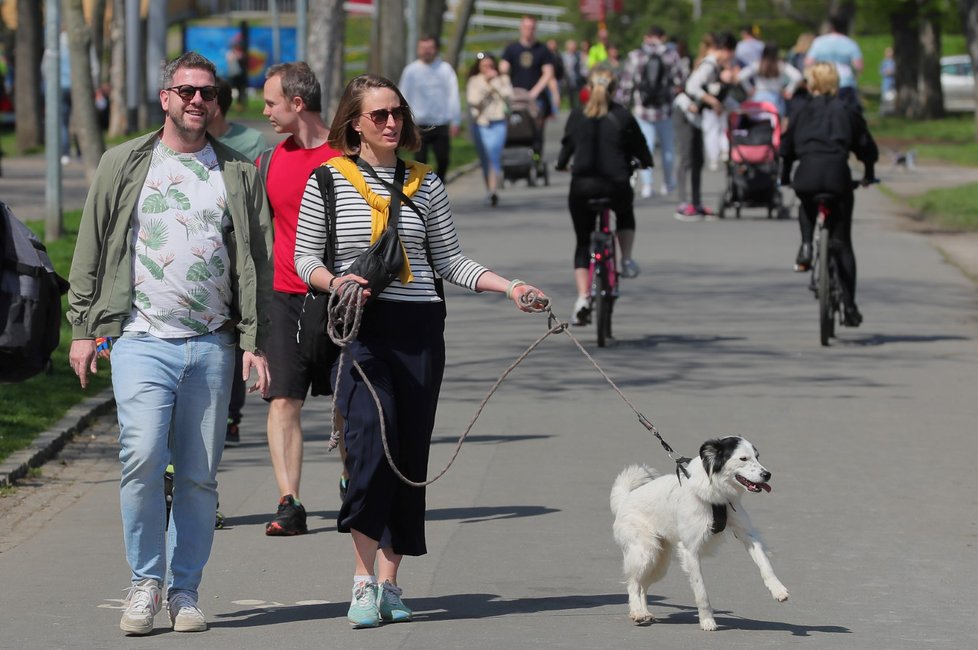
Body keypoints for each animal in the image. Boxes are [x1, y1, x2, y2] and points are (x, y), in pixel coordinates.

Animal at [608, 436, 784, 628]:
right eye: (743, 458)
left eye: (757, 457)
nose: (767, 475)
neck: (715, 494)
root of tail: (625, 498)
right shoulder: (690, 551)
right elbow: (701, 591)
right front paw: (707, 620)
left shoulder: (748, 535)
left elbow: (765, 564)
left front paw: (778, 590)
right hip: (645, 553)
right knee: (633, 583)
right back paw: (638, 612)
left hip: (660, 562)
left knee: (643, 585)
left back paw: (645, 612)